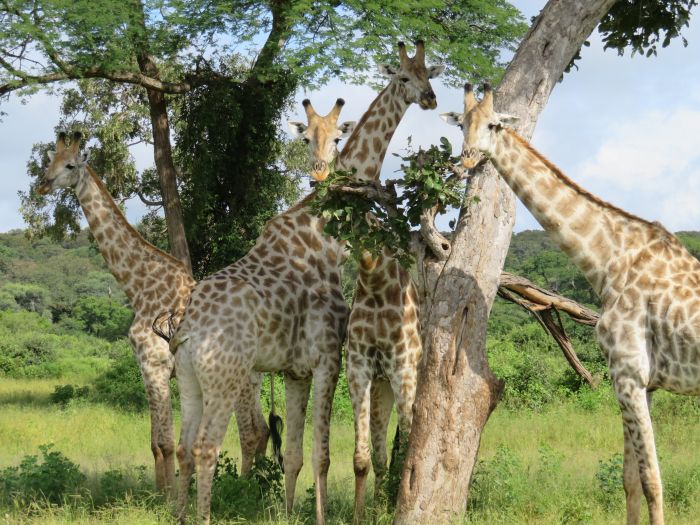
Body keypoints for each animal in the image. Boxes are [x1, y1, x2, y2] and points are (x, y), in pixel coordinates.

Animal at [36, 130, 200, 496]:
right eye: (49, 161)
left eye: (70, 165)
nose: (42, 185)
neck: (138, 288)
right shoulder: (145, 368)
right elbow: (155, 443)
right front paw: (158, 493)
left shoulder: (156, 365)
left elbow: (167, 442)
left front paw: (169, 499)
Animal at [170, 99, 356, 524]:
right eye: (305, 138)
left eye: (338, 138)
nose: (318, 174)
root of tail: (189, 329)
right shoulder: (328, 357)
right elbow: (321, 455)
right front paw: (318, 516)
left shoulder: (294, 368)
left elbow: (294, 452)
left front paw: (286, 512)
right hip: (224, 378)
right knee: (207, 446)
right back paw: (204, 517)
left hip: (189, 378)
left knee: (185, 445)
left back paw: (181, 514)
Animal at [442, 83, 700, 524]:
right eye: (462, 124)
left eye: (493, 124)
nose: (467, 160)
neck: (608, 262)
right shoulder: (641, 381)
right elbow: (631, 481)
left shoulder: (628, 372)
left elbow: (652, 482)